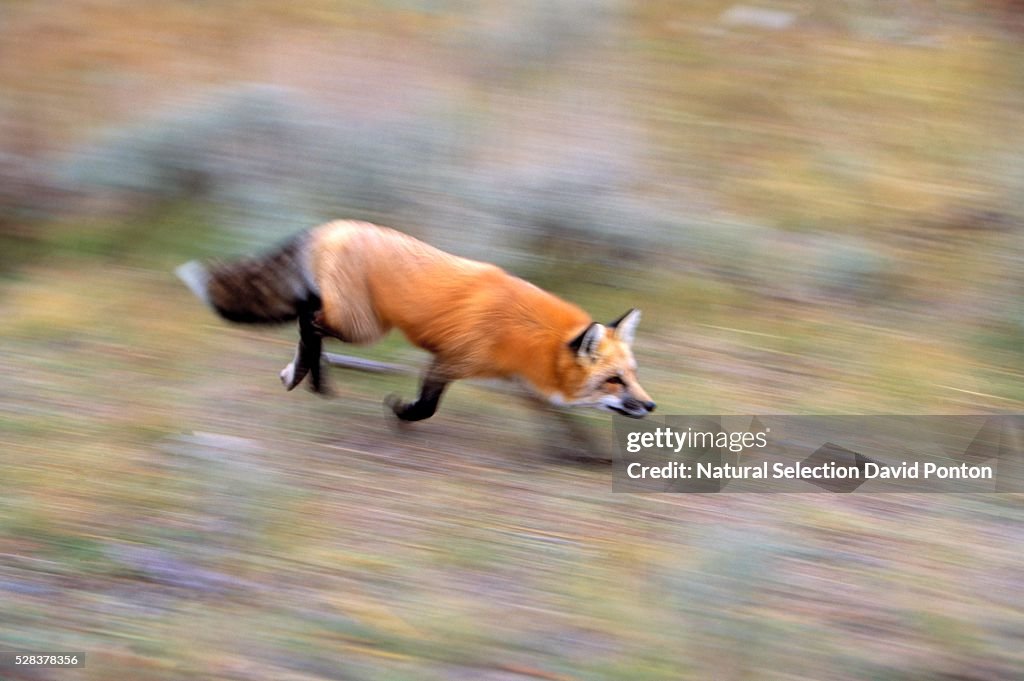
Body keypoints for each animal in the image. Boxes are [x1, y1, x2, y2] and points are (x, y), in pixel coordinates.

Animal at [176, 220, 655, 423]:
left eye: (632, 375)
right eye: (614, 381)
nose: (650, 405)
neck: (528, 333)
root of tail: (335, 225)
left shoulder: (521, 382)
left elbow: (563, 427)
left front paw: (582, 457)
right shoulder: (449, 361)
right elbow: (427, 406)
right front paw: (401, 413)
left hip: (353, 320)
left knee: (306, 316)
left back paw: (308, 375)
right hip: (364, 328)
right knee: (306, 319)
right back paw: (308, 376)